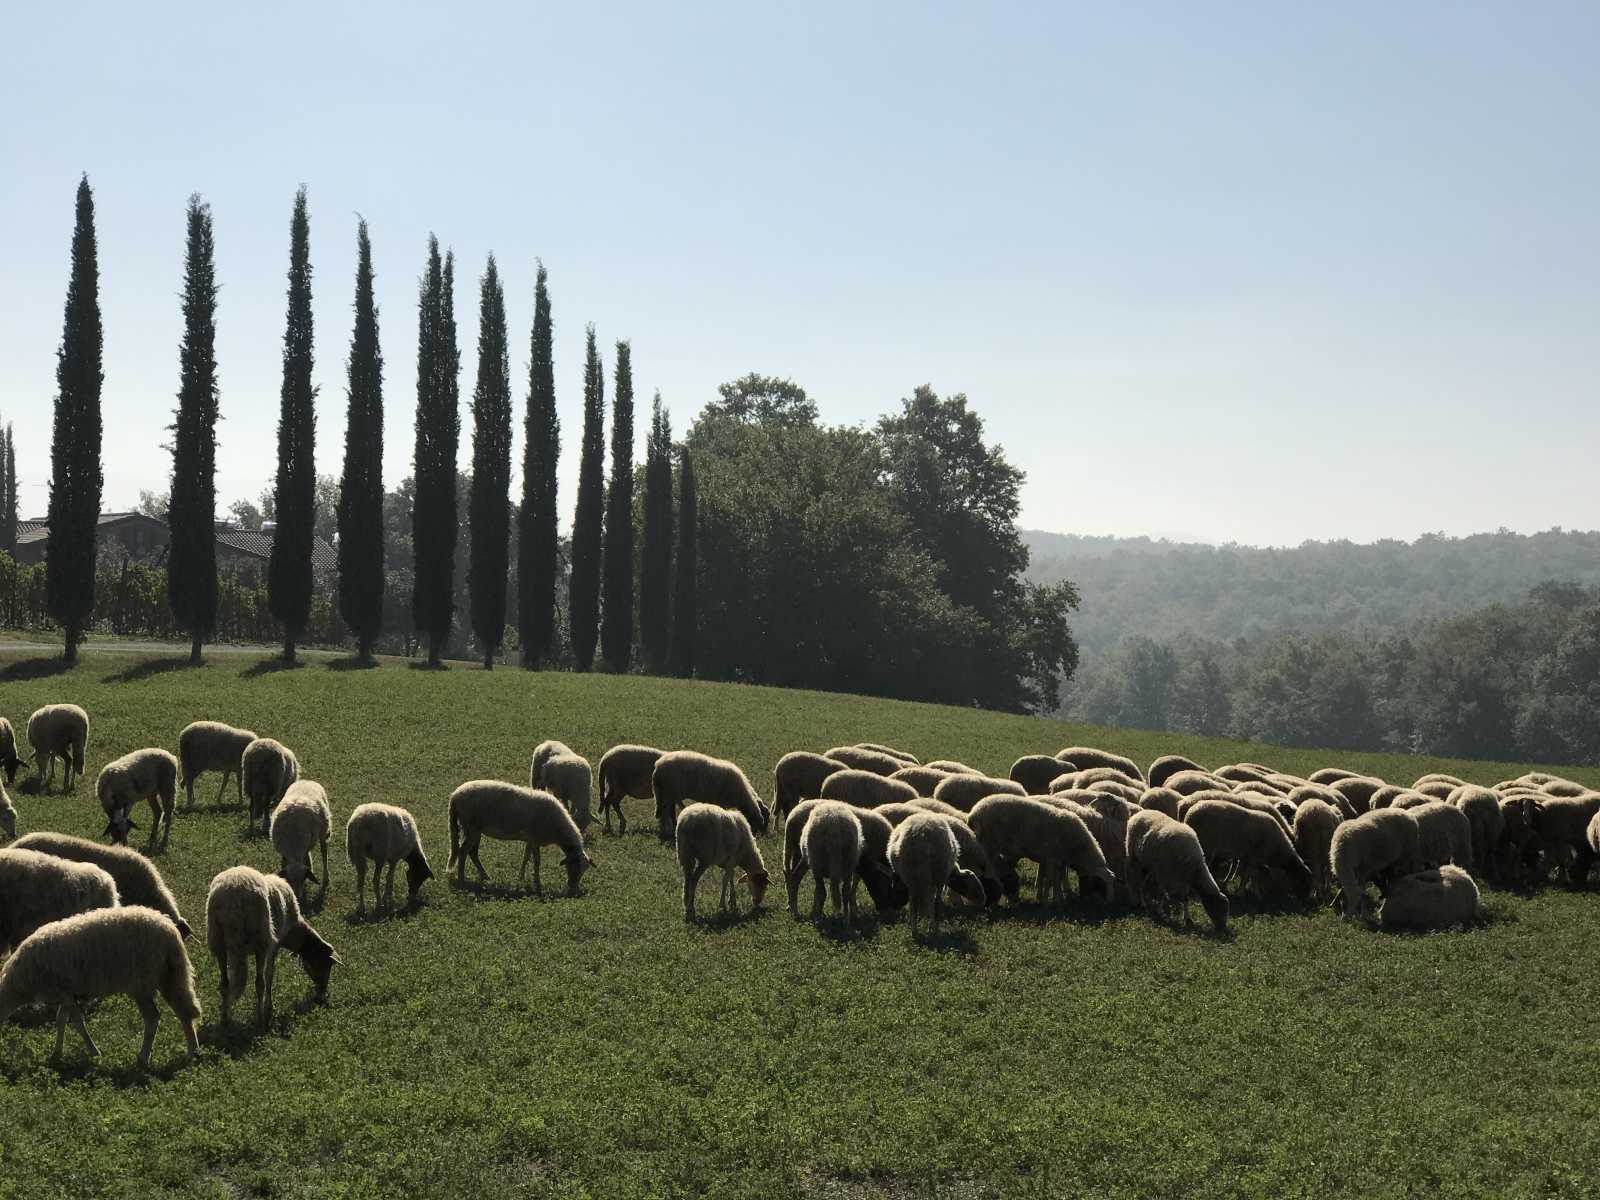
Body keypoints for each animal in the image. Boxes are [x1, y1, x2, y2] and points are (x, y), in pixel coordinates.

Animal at [0, 907, 200, 1069]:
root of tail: (169, 930)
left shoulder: (65, 993)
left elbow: (77, 1023)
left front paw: (94, 1052)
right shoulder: (67, 993)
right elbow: (61, 1020)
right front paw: (57, 1054)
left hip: (142, 983)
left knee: (153, 1018)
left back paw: (144, 1058)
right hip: (169, 976)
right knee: (184, 1012)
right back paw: (193, 1053)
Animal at [205, 865, 339, 1028]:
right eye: (327, 964)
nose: (322, 990)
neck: (294, 932)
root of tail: (231, 900)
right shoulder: (274, 945)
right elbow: (270, 975)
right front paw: (269, 1008)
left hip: (217, 940)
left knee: (224, 983)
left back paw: (225, 1020)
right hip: (261, 940)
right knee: (259, 982)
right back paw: (261, 1020)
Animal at [447, 780, 594, 895]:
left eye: (583, 871)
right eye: (574, 867)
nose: (573, 889)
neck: (559, 829)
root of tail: (455, 796)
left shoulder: (530, 839)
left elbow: (526, 856)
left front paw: (521, 877)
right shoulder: (535, 838)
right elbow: (536, 861)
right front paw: (537, 884)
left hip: (475, 830)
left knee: (472, 853)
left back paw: (485, 876)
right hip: (471, 827)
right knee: (463, 851)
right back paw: (462, 879)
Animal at [969, 795, 1116, 905]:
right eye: (1102, 884)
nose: (1109, 902)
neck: (1079, 848)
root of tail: (974, 811)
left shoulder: (1057, 859)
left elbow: (1056, 879)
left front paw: (1057, 898)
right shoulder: (1052, 857)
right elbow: (1050, 880)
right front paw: (1048, 901)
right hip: (989, 845)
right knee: (990, 871)